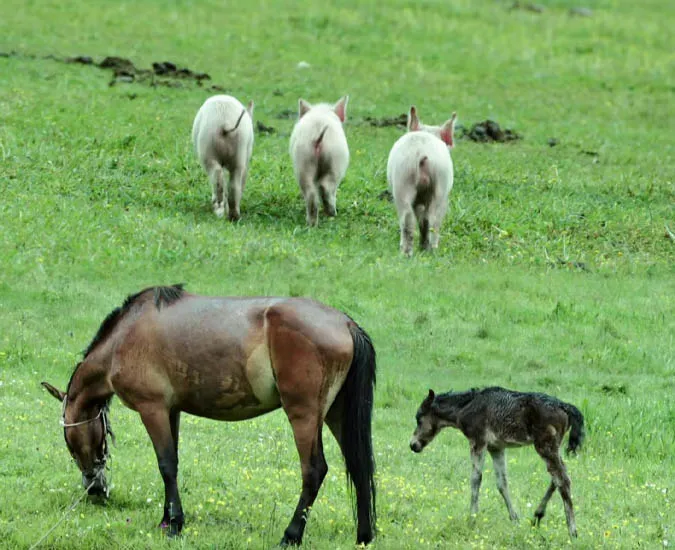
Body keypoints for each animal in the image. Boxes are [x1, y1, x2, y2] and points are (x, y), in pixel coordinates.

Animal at [42, 284, 378, 548]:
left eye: (69, 443)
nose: (95, 490)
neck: (125, 337)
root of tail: (346, 323)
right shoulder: (171, 411)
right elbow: (172, 464)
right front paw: (167, 519)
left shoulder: (153, 409)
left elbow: (166, 464)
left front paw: (175, 524)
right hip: (335, 413)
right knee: (359, 467)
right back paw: (364, 536)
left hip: (304, 415)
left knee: (314, 471)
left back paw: (291, 535)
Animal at [412, 388, 588, 540]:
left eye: (419, 419)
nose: (413, 445)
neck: (468, 406)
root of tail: (565, 406)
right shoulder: (496, 447)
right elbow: (502, 483)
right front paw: (515, 519)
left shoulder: (478, 442)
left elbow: (475, 479)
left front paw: (472, 519)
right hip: (553, 446)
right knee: (558, 476)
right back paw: (537, 516)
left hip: (545, 446)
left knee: (563, 480)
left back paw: (572, 531)